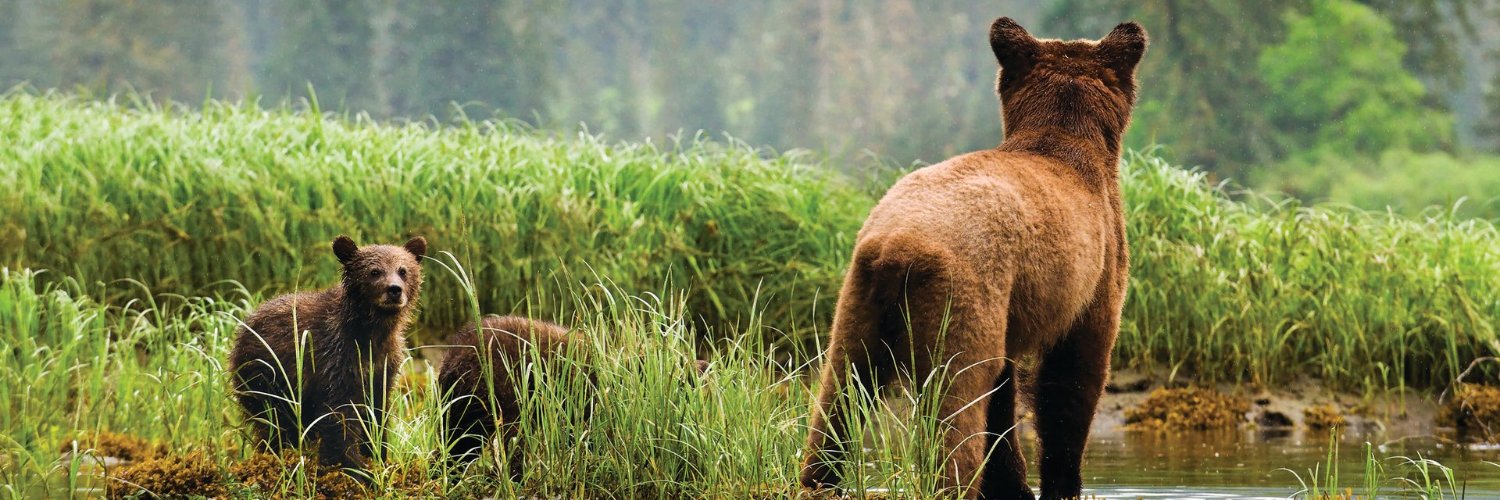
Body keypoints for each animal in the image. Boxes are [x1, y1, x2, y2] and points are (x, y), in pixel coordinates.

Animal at [228, 234, 426, 473]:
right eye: (374, 271)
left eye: (403, 270)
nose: (394, 290)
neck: (371, 332)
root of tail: (245, 323)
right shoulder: (335, 359)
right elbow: (339, 415)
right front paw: (355, 465)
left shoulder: (384, 366)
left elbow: (376, 412)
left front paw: (377, 454)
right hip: (264, 376)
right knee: (273, 421)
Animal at [799, 17, 1147, 500]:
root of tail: (899, 246)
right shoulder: (1095, 266)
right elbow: (1073, 372)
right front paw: (1060, 482)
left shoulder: (1013, 304)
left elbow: (1003, 392)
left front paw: (1013, 484)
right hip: (964, 295)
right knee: (957, 401)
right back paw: (954, 482)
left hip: (859, 298)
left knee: (843, 390)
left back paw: (820, 478)